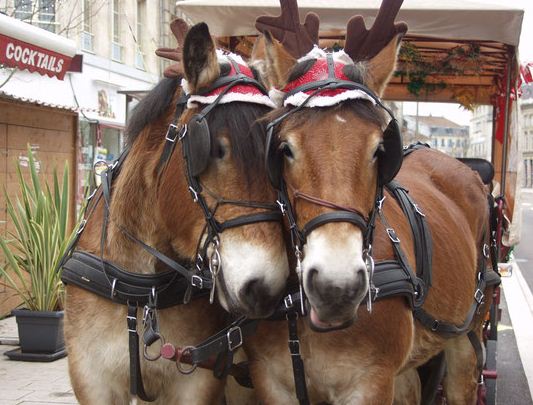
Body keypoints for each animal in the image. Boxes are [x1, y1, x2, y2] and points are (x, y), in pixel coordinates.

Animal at [243, 1, 496, 402]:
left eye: (379, 149)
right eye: (284, 148)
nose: (336, 288)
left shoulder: (371, 382)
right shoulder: (269, 380)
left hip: (468, 331)